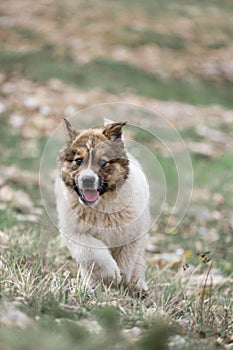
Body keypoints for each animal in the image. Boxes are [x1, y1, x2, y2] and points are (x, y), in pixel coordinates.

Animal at [54, 119, 149, 294]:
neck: (101, 207)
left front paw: (120, 279)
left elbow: (126, 259)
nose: (88, 180)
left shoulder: (131, 234)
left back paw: (138, 286)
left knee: (138, 259)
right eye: (78, 161)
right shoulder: (75, 232)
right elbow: (93, 253)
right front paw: (110, 275)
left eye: (102, 162)